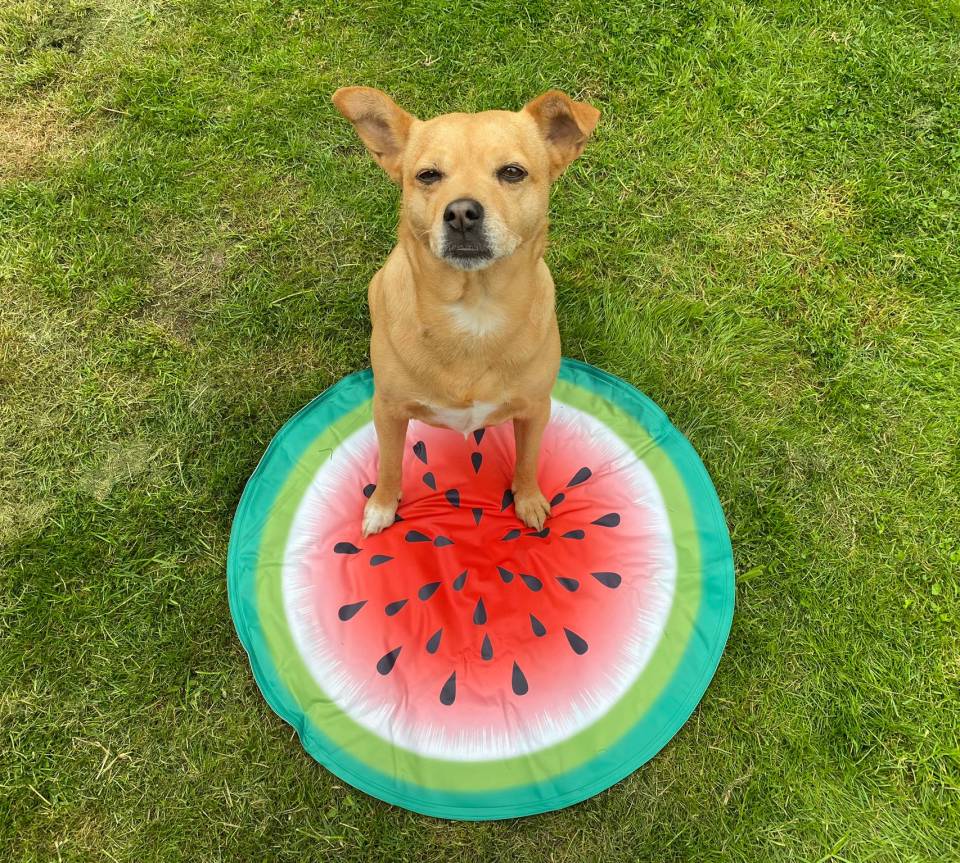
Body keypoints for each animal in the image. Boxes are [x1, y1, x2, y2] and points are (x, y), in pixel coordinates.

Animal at [332, 88, 600, 532]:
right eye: (428, 175)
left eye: (512, 172)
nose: (460, 213)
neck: (474, 310)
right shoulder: (388, 412)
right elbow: (389, 465)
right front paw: (383, 506)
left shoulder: (535, 410)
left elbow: (528, 461)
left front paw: (528, 499)